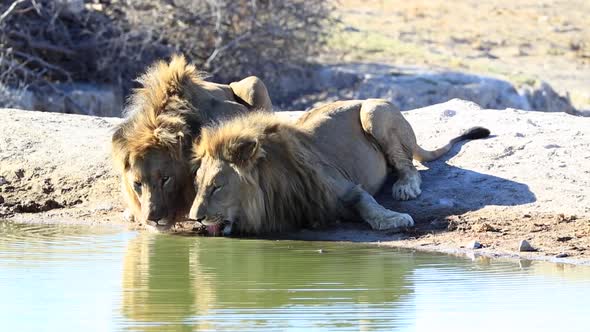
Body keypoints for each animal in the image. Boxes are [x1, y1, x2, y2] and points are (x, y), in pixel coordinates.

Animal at [190, 99, 490, 236]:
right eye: (198, 185)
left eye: (217, 187)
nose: (195, 218)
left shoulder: (341, 186)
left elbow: (366, 201)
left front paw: (392, 219)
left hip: (373, 112)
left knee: (409, 167)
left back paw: (405, 187)